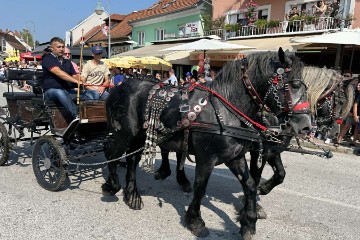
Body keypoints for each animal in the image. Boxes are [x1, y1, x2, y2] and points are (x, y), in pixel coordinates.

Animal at [102, 48, 310, 238]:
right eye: (294, 84)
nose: (306, 125)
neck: (225, 109)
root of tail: (118, 87)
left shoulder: (235, 156)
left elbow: (250, 183)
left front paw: (249, 221)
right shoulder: (206, 158)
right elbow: (201, 188)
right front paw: (195, 221)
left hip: (139, 137)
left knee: (132, 160)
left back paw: (132, 195)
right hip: (125, 134)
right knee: (112, 154)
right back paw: (113, 185)